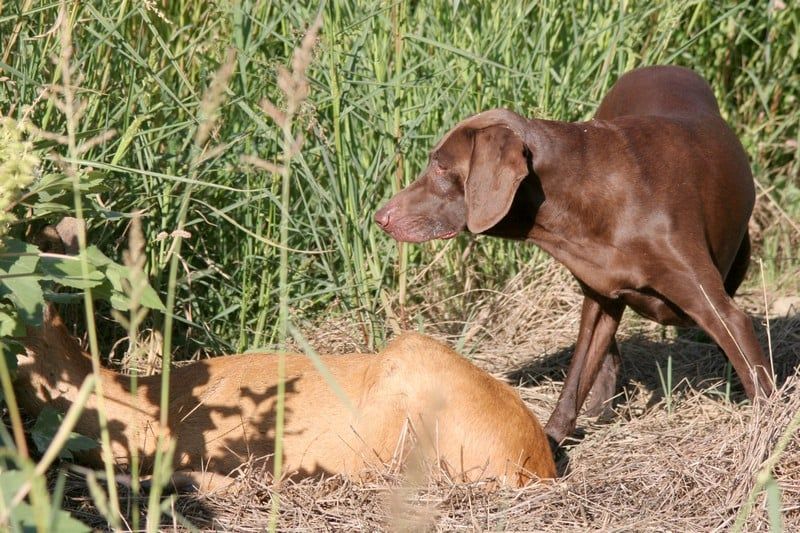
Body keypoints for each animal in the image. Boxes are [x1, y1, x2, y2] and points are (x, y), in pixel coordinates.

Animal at [376, 64, 776, 442]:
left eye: (442, 165)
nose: (381, 217)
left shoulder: (718, 309)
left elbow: (759, 379)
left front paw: (764, 444)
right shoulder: (599, 300)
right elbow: (576, 377)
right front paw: (554, 438)